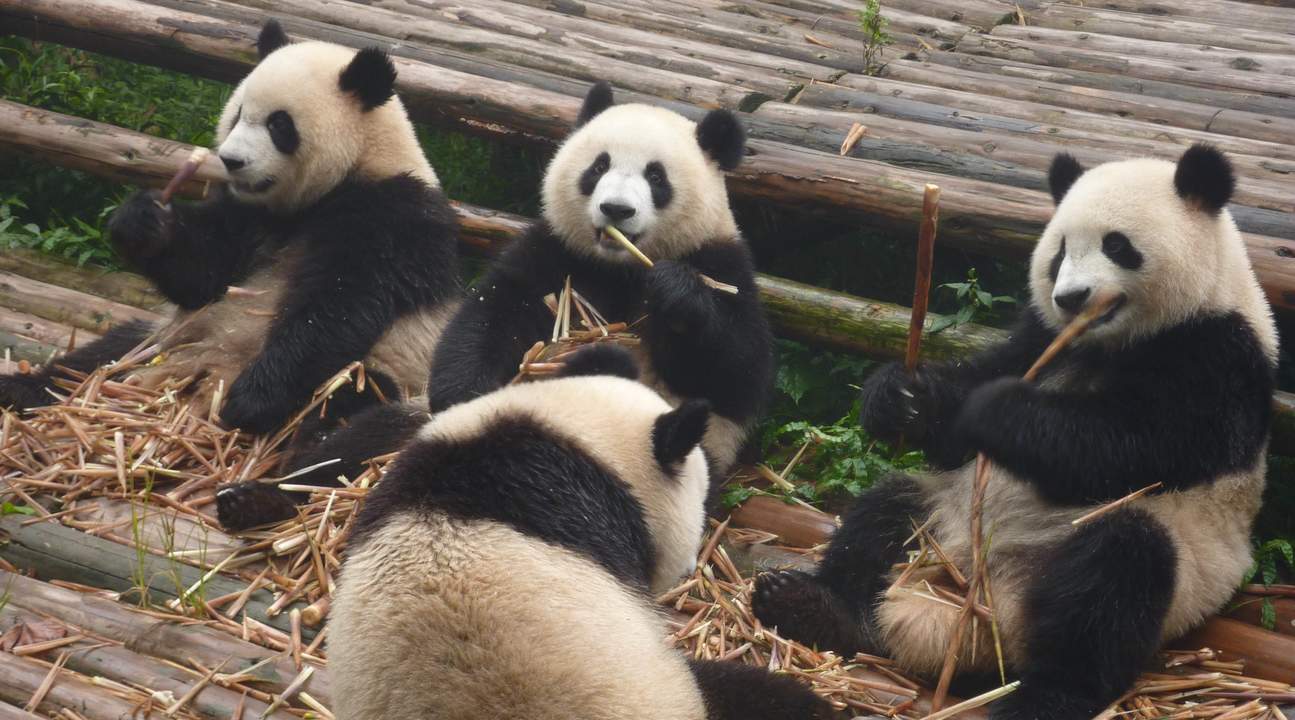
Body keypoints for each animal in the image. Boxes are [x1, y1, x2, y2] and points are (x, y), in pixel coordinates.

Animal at [0, 21, 462, 529]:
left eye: (280, 125)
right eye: (239, 113)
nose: (231, 160)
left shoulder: (392, 219)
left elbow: (338, 307)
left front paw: (249, 400)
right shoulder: (247, 217)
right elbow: (204, 273)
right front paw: (142, 222)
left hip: (395, 377)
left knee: (349, 425)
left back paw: (263, 499)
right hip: (160, 343)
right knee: (95, 359)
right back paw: (19, 388)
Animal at [751, 144, 1277, 720]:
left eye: (1117, 245)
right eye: (1060, 252)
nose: (1071, 297)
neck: (1109, 342)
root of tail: (972, 610)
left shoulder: (1217, 356)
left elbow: (1129, 445)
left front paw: (997, 410)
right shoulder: (1041, 336)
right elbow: (972, 403)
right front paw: (899, 397)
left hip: (1172, 565)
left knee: (1113, 580)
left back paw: (1045, 696)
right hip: (941, 516)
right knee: (883, 511)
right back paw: (809, 605)